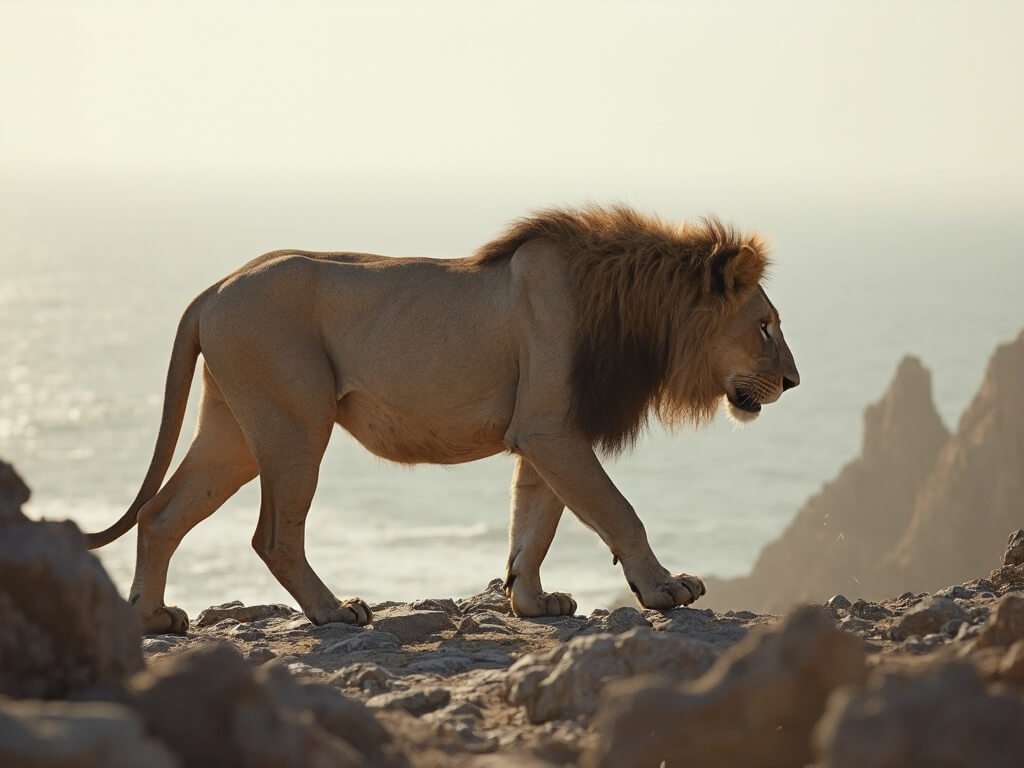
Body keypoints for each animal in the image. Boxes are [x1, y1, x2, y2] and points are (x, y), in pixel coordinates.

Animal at [86, 204, 799, 634]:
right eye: (765, 327)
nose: (793, 382)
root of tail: (216, 285)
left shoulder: (545, 430)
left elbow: (533, 527)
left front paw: (533, 604)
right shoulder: (550, 429)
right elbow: (618, 511)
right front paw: (663, 589)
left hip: (233, 431)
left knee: (161, 515)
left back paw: (151, 619)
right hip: (295, 422)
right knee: (272, 535)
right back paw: (334, 611)